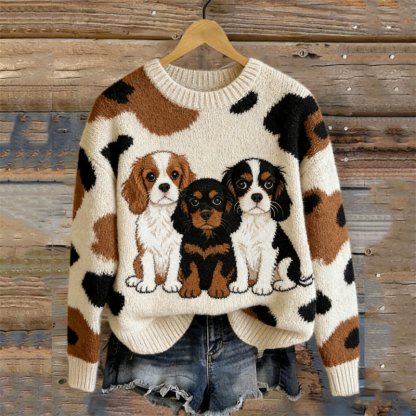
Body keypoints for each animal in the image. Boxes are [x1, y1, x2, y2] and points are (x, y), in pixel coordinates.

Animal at [121, 151, 196, 293]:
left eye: (175, 174)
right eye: (150, 176)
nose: (164, 186)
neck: (162, 213)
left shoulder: (177, 248)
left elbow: (173, 266)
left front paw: (171, 284)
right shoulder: (145, 247)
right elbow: (148, 267)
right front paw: (147, 284)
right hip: (136, 259)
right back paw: (136, 280)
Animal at [222, 158, 313, 295]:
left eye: (269, 184)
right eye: (241, 184)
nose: (257, 196)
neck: (253, 219)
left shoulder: (269, 249)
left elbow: (265, 268)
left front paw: (262, 287)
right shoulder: (238, 249)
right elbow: (242, 267)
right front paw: (241, 285)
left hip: (287, 261)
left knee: (292, 280)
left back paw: (281, 284)